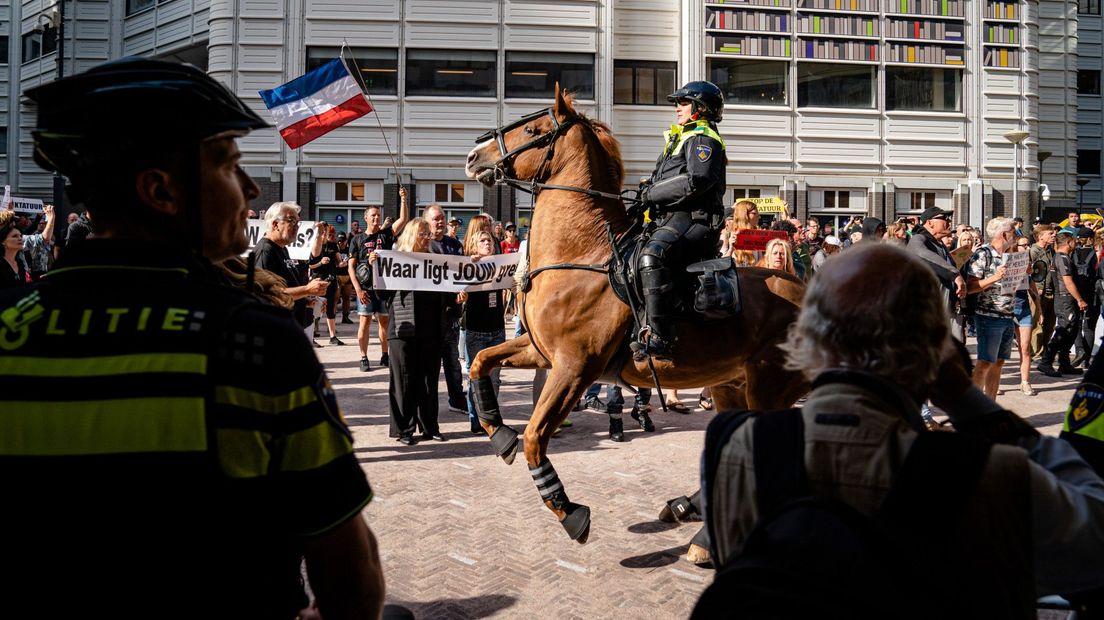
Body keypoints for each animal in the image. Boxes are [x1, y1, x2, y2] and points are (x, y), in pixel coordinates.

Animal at [461, 88, 808, 544]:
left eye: (534, 130)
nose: (473, 156)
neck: (581, 256)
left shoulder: (575, 367)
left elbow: (534, 436)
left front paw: (569, 511)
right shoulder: (541, 352)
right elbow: (481, 363)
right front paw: (499, 433)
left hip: (769, 389)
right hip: (732, 385)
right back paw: (689, 513)